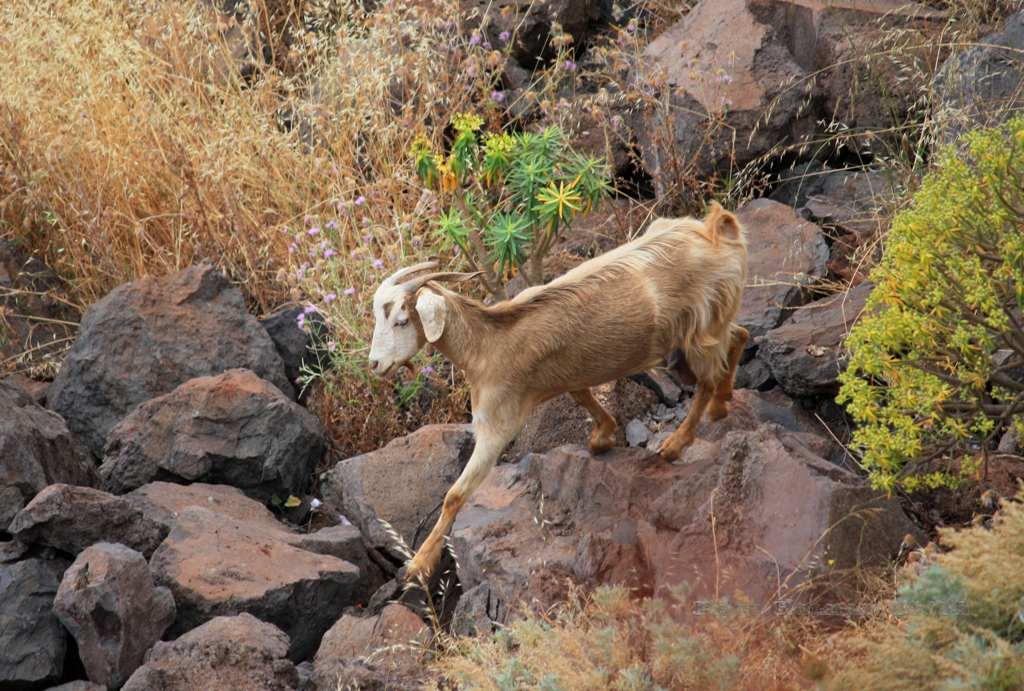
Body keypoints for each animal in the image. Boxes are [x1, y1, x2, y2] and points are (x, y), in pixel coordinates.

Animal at [370, 202, 753, 581]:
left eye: (401, 320)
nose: (374, 364)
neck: (487, 344)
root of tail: (716, 230)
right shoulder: (563, 378)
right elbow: (581, 395)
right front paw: (602, 438)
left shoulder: (497, 422)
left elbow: (455, 494)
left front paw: (418, 564)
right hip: (715, 321)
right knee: (740, 336)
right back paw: (722, 404)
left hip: (702, 328)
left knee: (707, 377)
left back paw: (677, 443)